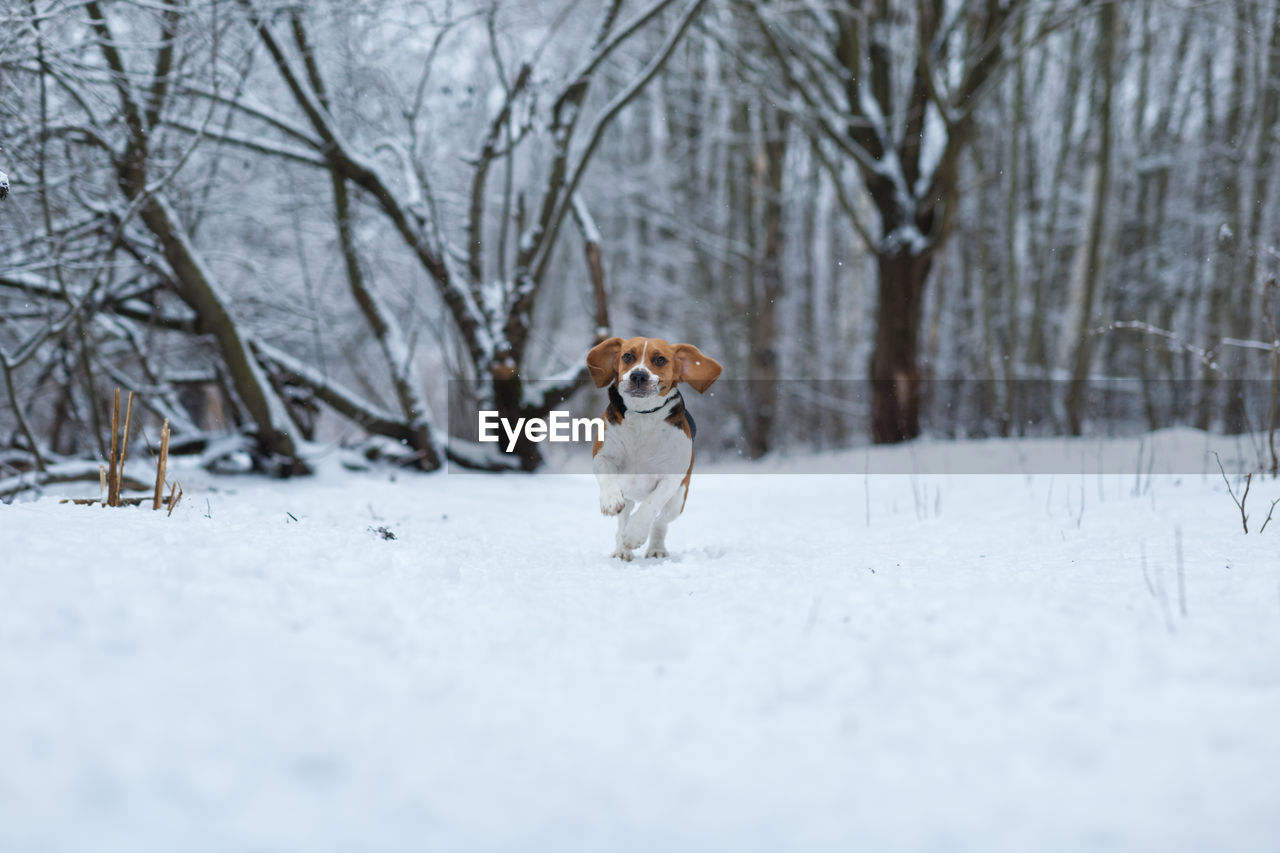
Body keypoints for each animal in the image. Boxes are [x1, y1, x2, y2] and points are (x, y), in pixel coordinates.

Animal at [586, 335, 721, 560]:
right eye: (627, 356)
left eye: (660, 360)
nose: (638, 375)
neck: (643, 416)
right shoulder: (603, 456)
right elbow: (607, 479)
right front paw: (610, 501)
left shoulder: (670, 477)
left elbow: (651, 505)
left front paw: (635, 533)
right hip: (628, 494)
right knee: (623, 520)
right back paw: (622, 550)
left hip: (677, 501)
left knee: (660, 522)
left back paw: (655, 548)